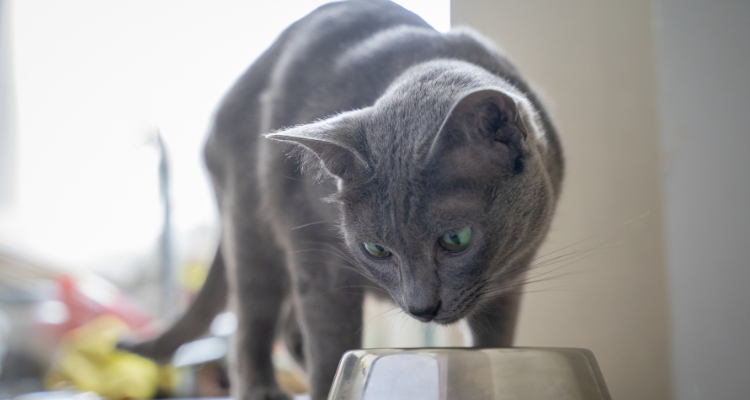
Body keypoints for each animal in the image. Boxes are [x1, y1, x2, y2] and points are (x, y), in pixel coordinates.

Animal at [120, 0, 560, 400]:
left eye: (456, 240)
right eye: (376, 249)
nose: (422, 308)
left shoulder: (509, 276)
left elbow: (492, 342)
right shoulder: (319, 258)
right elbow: (330, 345)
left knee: (287, 331)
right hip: (252, 227)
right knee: (253, 324)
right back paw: (264, 389)